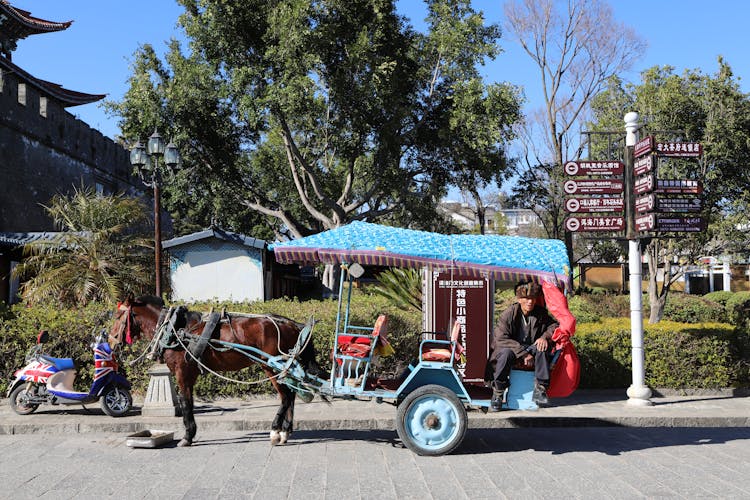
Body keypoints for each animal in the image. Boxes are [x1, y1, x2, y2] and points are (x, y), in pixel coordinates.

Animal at [111, 292, 320, 446]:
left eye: (119, 316)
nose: (111, 340)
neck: (174, 329)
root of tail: (292, 324)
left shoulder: (181, 372)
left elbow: (185, 402)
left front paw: (187, 436)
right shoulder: (190, 373)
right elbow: (190, 402)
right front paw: (191, 432)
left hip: (271, 366)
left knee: (286, 397)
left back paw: (276, 431)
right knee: (291, 395)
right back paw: (286, 431)